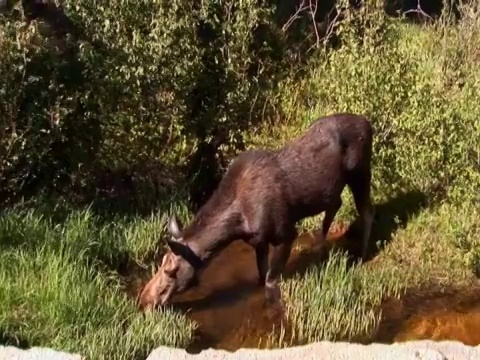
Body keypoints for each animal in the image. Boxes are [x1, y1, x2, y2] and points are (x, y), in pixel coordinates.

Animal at [139, 114, 376, 310]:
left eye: (171, 271)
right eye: (161, 263)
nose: (145, 300)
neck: (237, 225)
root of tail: (369, 123)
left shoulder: (285, 234)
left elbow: (271, 281)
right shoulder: (258, 241)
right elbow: (261, 276)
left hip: (360, 173)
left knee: (367, 211)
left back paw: (362, 255)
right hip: (334, 188)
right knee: (335, 205)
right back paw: (319, 248)